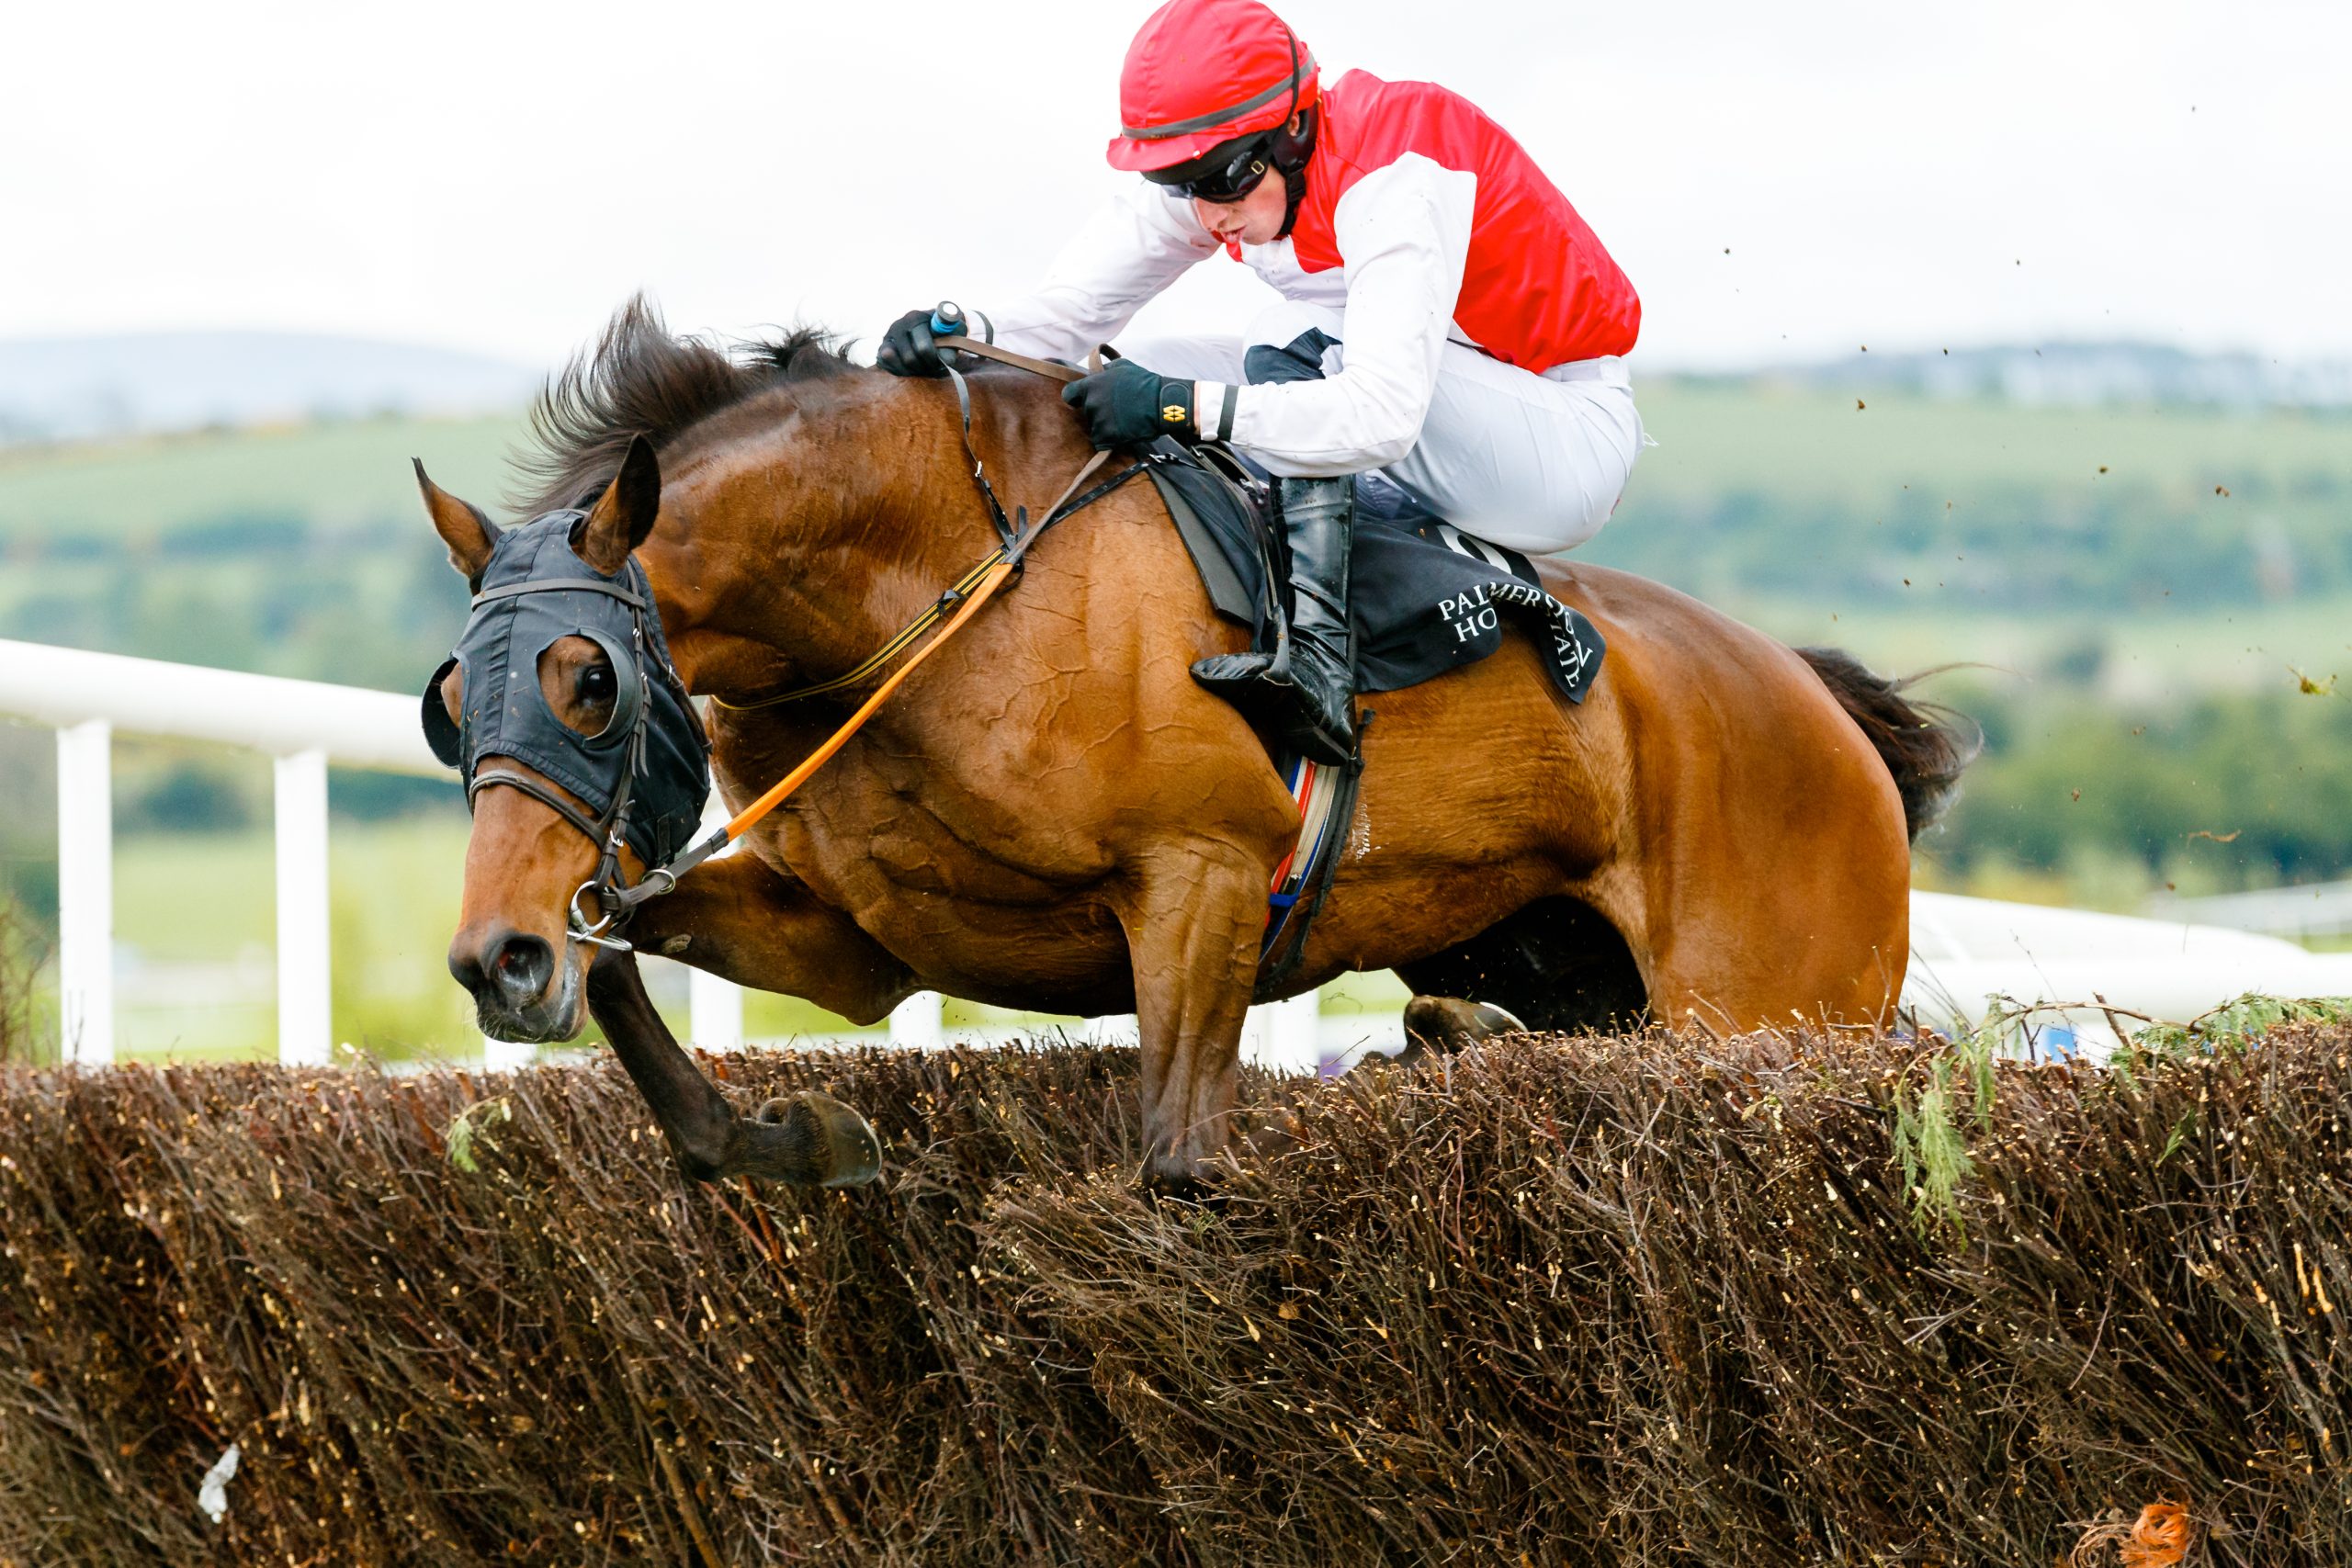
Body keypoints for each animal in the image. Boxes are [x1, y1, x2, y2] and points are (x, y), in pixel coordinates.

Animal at [420, 300, 1973, 1189]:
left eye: (586, 681)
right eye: (450, 702)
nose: (496, 961)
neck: (942, 580)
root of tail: (1823, 705)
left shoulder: (1204, 877)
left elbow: (1175, 1159)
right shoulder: (859, 940)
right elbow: (627, 962)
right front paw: (798, 1138)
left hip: (1772, 1007)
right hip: (1555, 958)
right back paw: (1452, 1040)